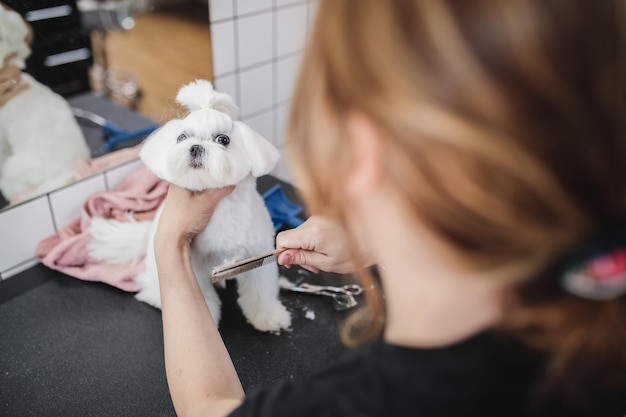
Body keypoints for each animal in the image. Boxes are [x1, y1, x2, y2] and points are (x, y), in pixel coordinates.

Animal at [89, 79, 292, 332]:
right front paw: (208, 320)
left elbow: (261, 289)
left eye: (223, 139)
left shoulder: (257, 253)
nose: (195, 147)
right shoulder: (192, 265)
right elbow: (202, 295)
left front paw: (268, 315)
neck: (220, 211)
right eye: (182, 137)